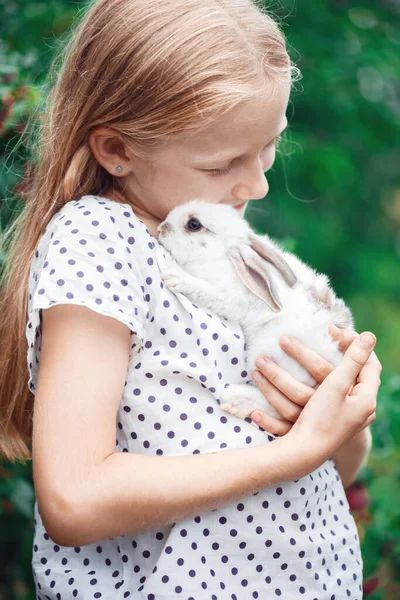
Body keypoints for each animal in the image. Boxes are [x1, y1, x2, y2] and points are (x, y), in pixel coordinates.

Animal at [156, 199, 354, 420]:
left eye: (193, 224)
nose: (160, 228)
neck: (220, 256)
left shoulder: (230, 296)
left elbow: (204, 290)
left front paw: (176, 277)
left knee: (279, 406)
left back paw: (235, 399)